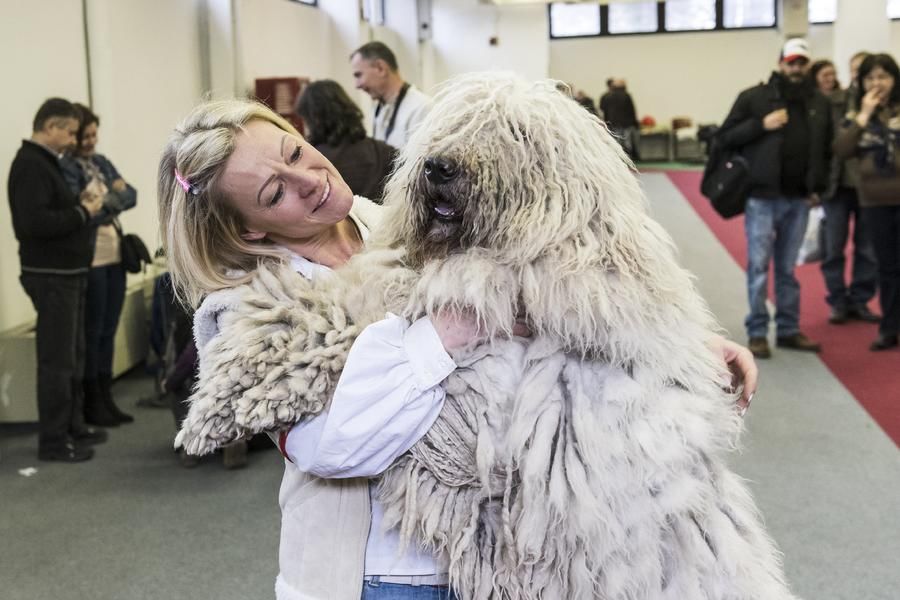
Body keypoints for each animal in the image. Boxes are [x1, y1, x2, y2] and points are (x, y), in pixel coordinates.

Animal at [179, 72, 800, 596]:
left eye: (515, 133)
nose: (438, 167)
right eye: (452, 123)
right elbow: (318, 310)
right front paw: (218, 394)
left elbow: (343, 317)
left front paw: (223, 398)